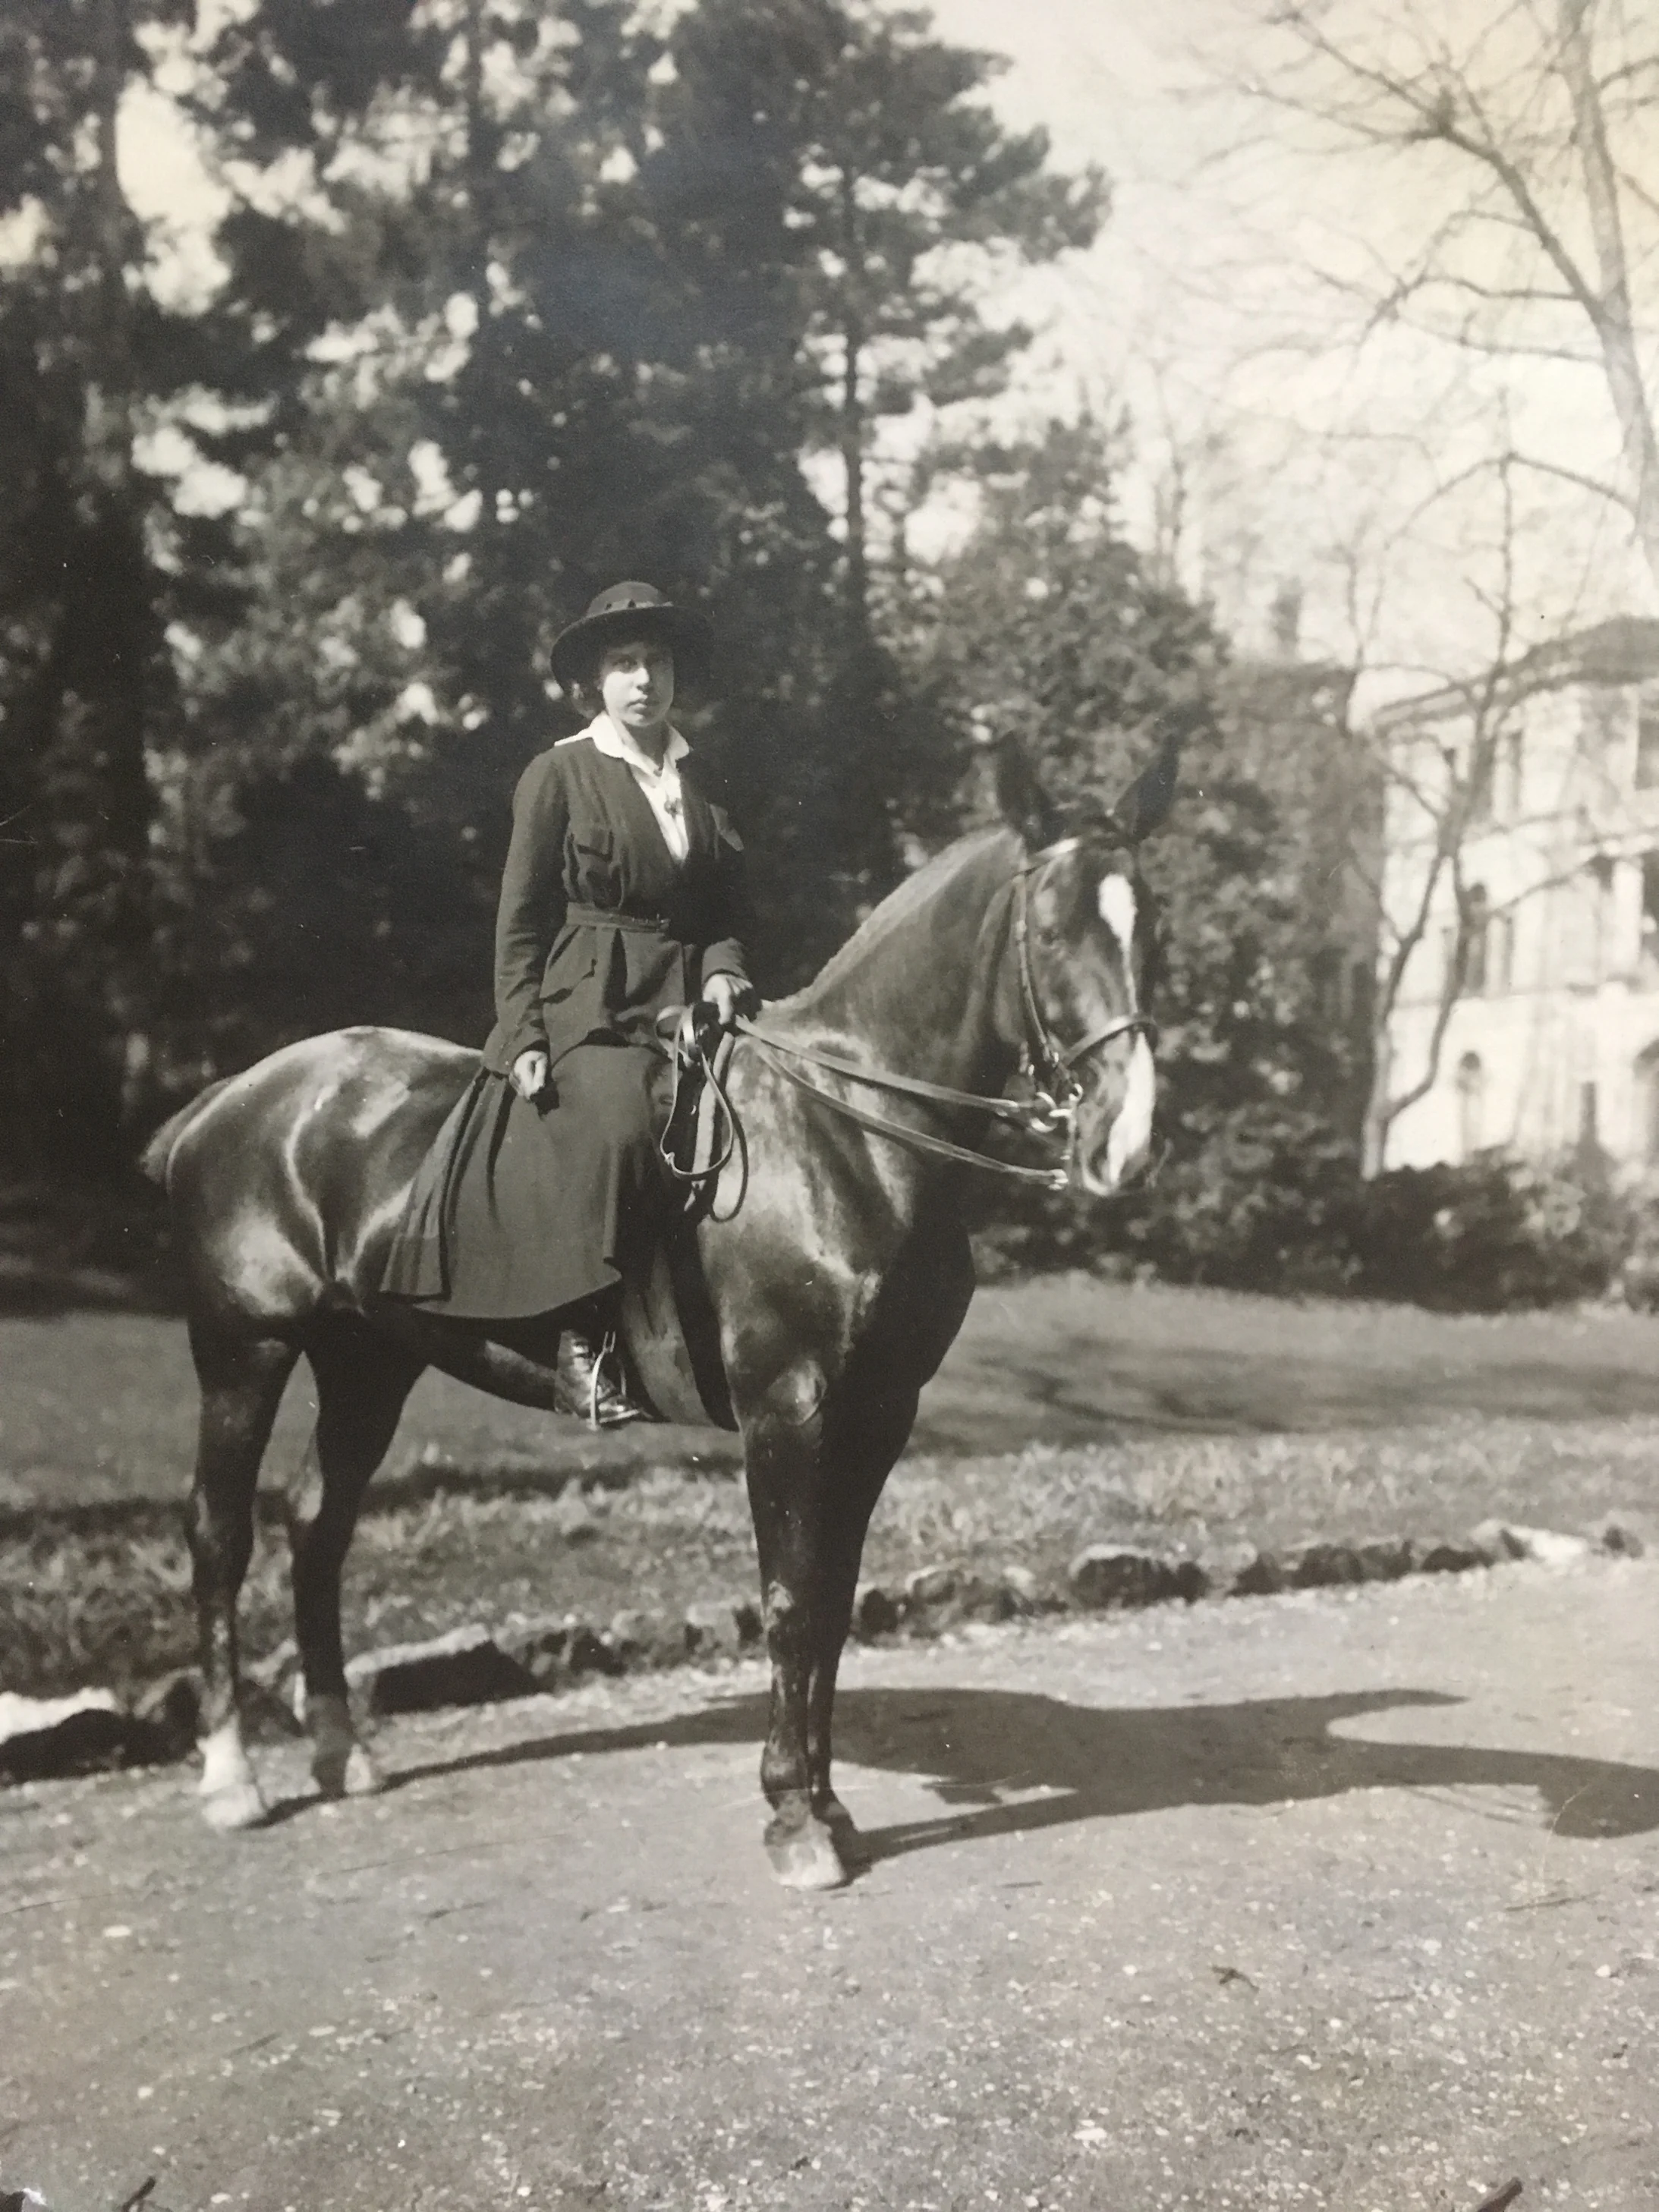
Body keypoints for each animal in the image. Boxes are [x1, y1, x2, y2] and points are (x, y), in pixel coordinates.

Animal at [146, 752, 1185, 1893]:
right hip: (244, 1350)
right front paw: (794, 1815)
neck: (845, 1130)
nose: (1127, 1143)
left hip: (366, 1362)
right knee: (220, 1532)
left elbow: (832, 1603)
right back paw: (230, 1775)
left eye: (1149, 926)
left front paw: (826, 1801)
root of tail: (232, 1096)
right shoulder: (790, 1408)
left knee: (317, 1524)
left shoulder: (877, 1414)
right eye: (1049, 929)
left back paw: (342, 1747)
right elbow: (790, 1599)